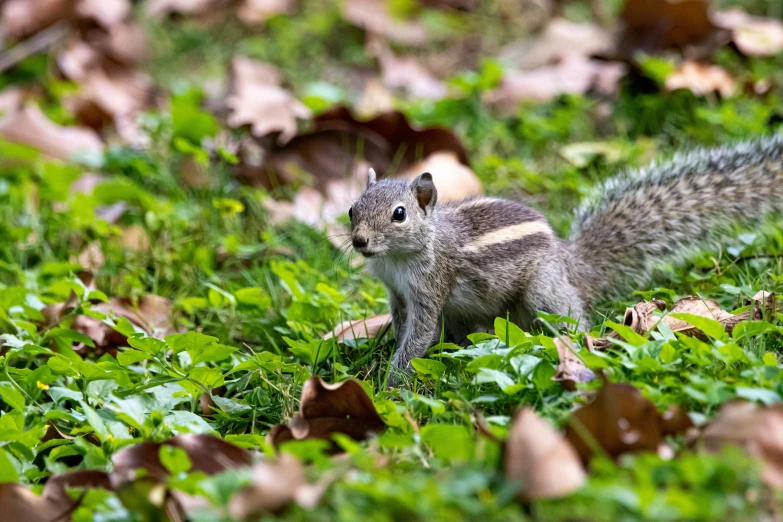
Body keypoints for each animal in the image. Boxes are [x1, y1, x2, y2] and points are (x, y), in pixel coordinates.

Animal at [350, 132, 783, 380]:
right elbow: (405, 327)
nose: (359, 241)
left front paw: (390, 383)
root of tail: (572, 265)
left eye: (399, 214)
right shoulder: (397, 294)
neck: (400, 257)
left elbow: (419, 335)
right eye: (353, 208)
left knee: (572, 318)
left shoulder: (431, 286)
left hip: (542, 292)